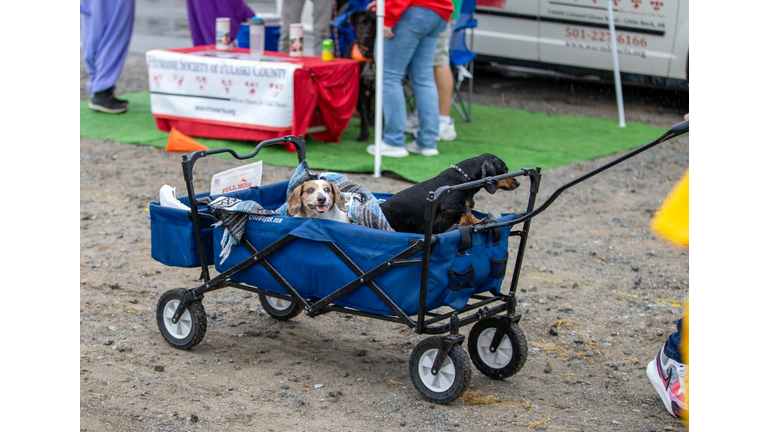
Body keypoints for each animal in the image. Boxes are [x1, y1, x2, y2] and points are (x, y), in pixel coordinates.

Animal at [380, 155, 520, 235]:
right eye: (505, 170)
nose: (518, 183)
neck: (464, 179)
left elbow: (469, 207)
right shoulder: (447, 206)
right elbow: (468, 210)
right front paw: (476, 221)